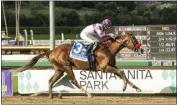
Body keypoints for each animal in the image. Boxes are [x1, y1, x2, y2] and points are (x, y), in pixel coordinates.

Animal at [12, 32, 142, 99]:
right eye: (134, 39)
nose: (141, 49)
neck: (108, 49)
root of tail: (52, 51)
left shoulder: (112, 67)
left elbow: (123, 74)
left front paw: (136, 88)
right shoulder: (105, 68)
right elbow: (121, 72)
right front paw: (124, 87)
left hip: (59, 69)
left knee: (51, 81)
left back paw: (50, 97)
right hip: (66, 67)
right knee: (73, 80)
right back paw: (88, 94)